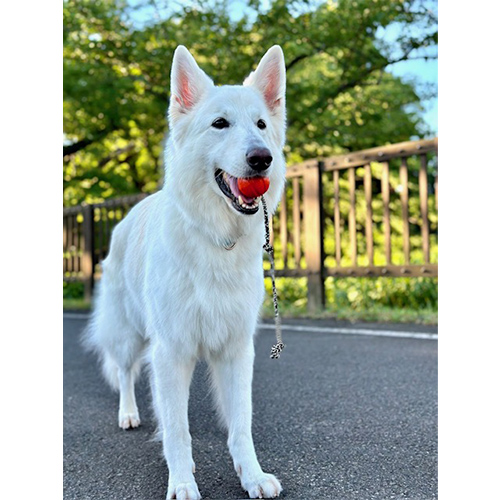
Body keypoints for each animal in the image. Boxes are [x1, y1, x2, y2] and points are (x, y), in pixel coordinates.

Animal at [85, 45, 288, 498]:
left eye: (261, 125)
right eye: (220, 124)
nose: (261, 159)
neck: (216, 239)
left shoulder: (235, 350)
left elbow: (241, 425)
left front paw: (251, 476)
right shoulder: (171, 350)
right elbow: (178, 428)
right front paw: (181, 482)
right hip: (128, 332)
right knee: (124, 371)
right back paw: (128, 413)